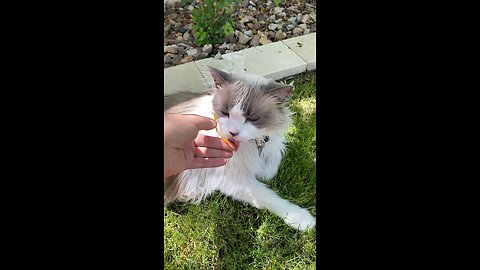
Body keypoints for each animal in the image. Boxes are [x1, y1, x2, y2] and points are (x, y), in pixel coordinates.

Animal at [163, 67, 316, 230]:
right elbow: (268, 197)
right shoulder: (231, 178)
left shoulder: (272, 145)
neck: (253, 144)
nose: (233, 133)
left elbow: (270, 168)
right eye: (225, 113)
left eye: (252, 118)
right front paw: (303, 220)